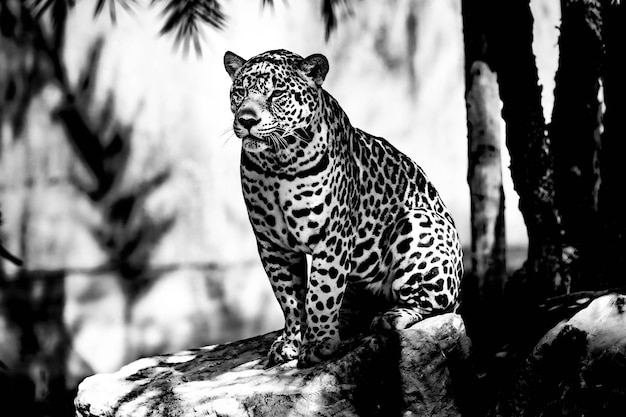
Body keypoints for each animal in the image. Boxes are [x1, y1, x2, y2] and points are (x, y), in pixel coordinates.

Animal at [222, 49, 460, 368]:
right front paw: (292, 341)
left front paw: (320, 344)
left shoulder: (331, 235)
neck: (276, 161)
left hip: (417, 223)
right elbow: (290, 297)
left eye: (276, 93)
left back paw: (390, 316)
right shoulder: (272, 244)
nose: (246, 119)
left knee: (440, 303)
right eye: (240, 92)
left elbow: (321, 291)